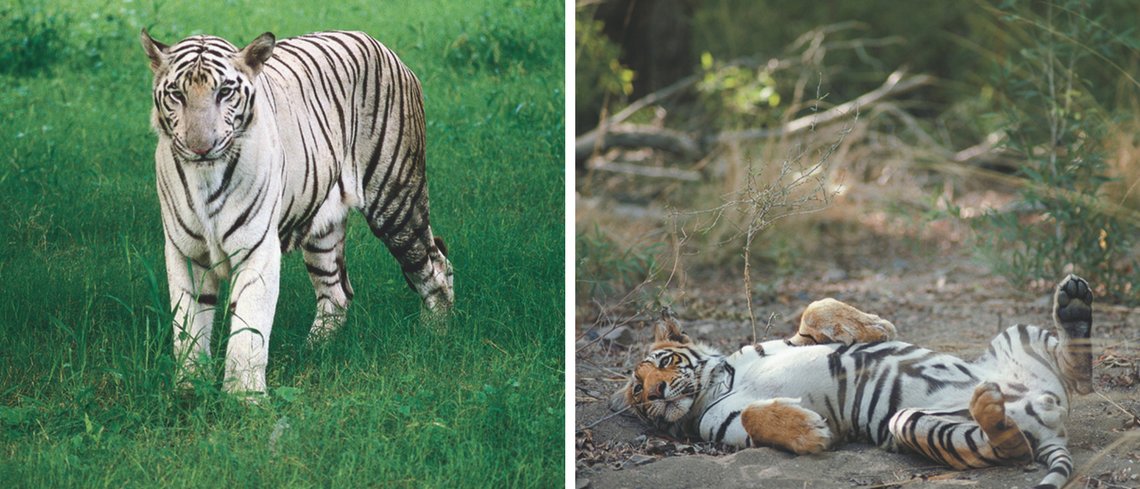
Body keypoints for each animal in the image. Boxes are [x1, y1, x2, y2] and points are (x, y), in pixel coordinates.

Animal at [137, 29, 449, 392]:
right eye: (177, 94)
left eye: (224, 92)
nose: (201, 147)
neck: (205, 176)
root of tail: (378, 43)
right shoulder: (185, 253)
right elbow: (188, 329)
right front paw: (188, 389)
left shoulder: (256, 249)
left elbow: (247, 332)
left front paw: (244, 399)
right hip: (323, 230)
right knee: (337, 293)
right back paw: (310, 352)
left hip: (396, 201)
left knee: (436, 267)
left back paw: (437, 339)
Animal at [615, 274, 1094, 487]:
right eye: (638, 393)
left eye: (663, 361)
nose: (656, 391)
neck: (719, 382)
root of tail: (1049, 425)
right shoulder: (729, 430)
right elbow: (753, 414)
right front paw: (811, 432)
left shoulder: (790, 341)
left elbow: (815, 308)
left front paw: (876, 327)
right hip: (915, 422)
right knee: (1007, 445)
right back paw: (991, 407)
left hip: (1016, 334)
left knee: (1078, 374)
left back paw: (1073, 307)